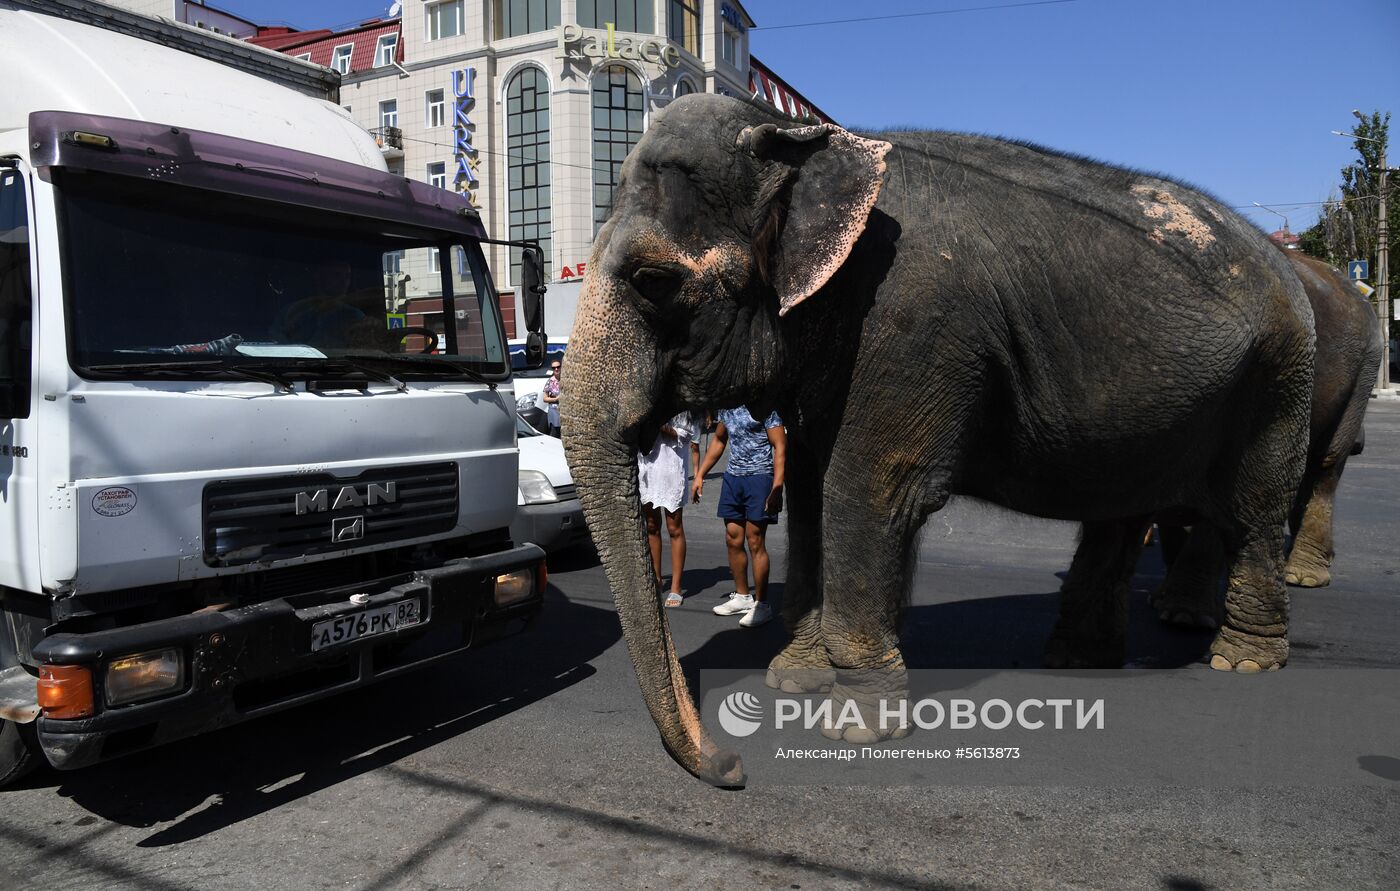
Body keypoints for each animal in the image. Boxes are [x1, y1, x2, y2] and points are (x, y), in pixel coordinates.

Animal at [557, 93, 1310, 784]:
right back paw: (1079, 658)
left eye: (653, 281)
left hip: (1279, 379)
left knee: (1252, 514)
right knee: (1121, 515)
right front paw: (792, 680)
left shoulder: (914, 319)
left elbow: (867, 490)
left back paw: (1240, 658)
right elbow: (808, 489)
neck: (808, 138)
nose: (732, 766)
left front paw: (853, 727)